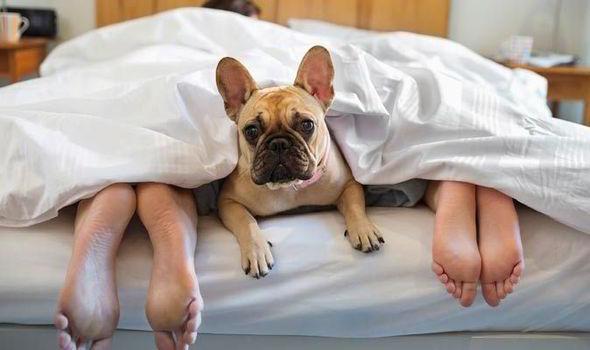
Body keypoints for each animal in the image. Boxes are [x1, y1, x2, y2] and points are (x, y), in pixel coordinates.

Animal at [216, 45, 384, 278]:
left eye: (307, 125)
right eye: (251, 131)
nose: (278, 144)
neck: (290, 188)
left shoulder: (350, 185)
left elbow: (355, 206)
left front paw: (364, 229)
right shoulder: (227, 201)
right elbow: (245, 220)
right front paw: (257, 251)